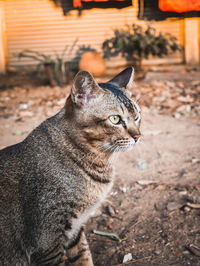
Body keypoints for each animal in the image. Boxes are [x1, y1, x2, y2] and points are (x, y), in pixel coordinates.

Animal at [0, 67, 141, 266]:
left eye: (137, 117)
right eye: (115, 119)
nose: (138, 136)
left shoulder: (75, 229)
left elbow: (83, 255)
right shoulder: (47, 241)